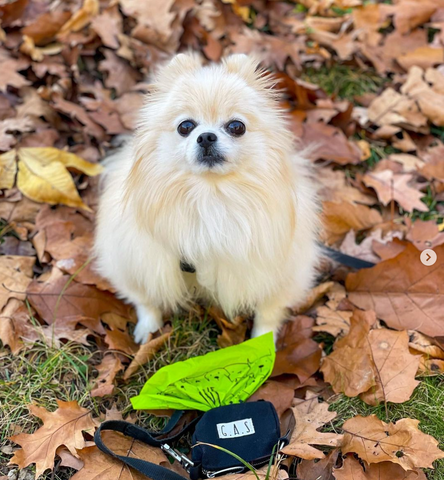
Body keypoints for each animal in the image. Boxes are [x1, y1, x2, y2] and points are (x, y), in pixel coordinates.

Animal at [95, 52, 320, 344]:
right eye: (185, 126)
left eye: (236, 126)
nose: (206, 137)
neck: (211, 196)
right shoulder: (137, 261)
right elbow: (146, 300)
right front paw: (148, 328)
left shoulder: (280, 272)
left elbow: (267, 314)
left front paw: (263, 342)